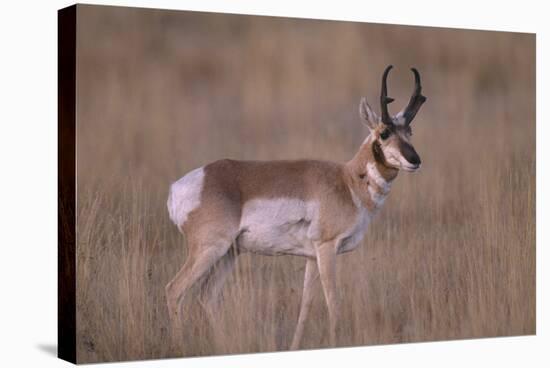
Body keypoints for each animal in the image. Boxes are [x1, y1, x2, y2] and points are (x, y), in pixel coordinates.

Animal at [166, 64, 430, 350]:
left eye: (410, 132)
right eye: (384, 133)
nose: (415, 160)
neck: (347, 180)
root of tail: (179, 187)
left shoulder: (311, 257)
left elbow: (306, 305)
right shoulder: (326, 248)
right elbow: (333, 303)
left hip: (228, 253)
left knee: (207, 296)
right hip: (210, 249)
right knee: (175, 290)